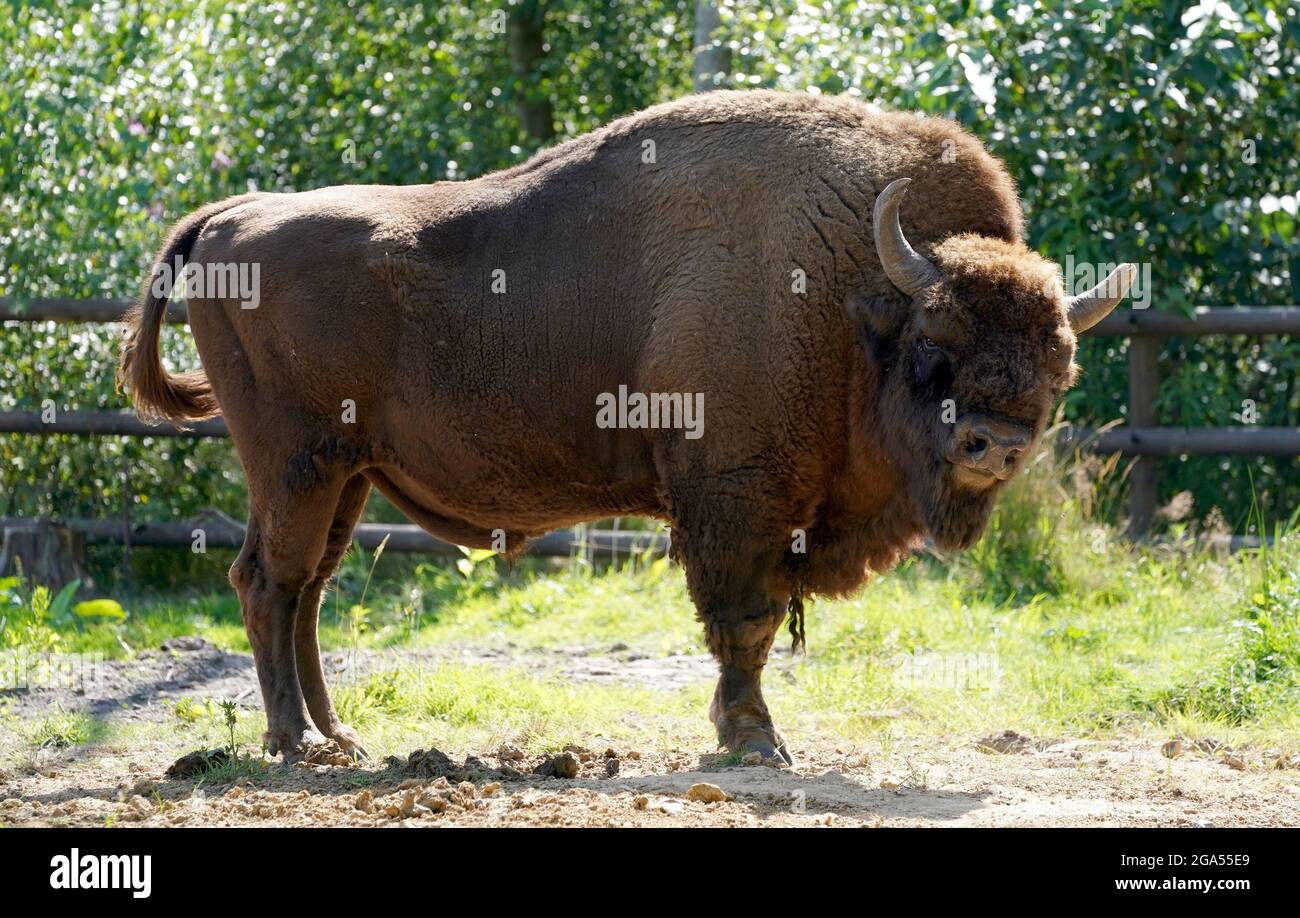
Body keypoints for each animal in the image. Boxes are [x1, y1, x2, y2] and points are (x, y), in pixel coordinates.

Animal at [122, 91, 1138, 764]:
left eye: (1060, 368)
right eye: (935, 346)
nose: (994, 444)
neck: (852, 299)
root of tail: (234, 216)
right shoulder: (735, 499)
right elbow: (745, 620)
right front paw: (753, 741)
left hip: (347, 474)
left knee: (307, 590)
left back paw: (341, 734)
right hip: (296, 462)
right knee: (268, 580)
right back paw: (295, 743)